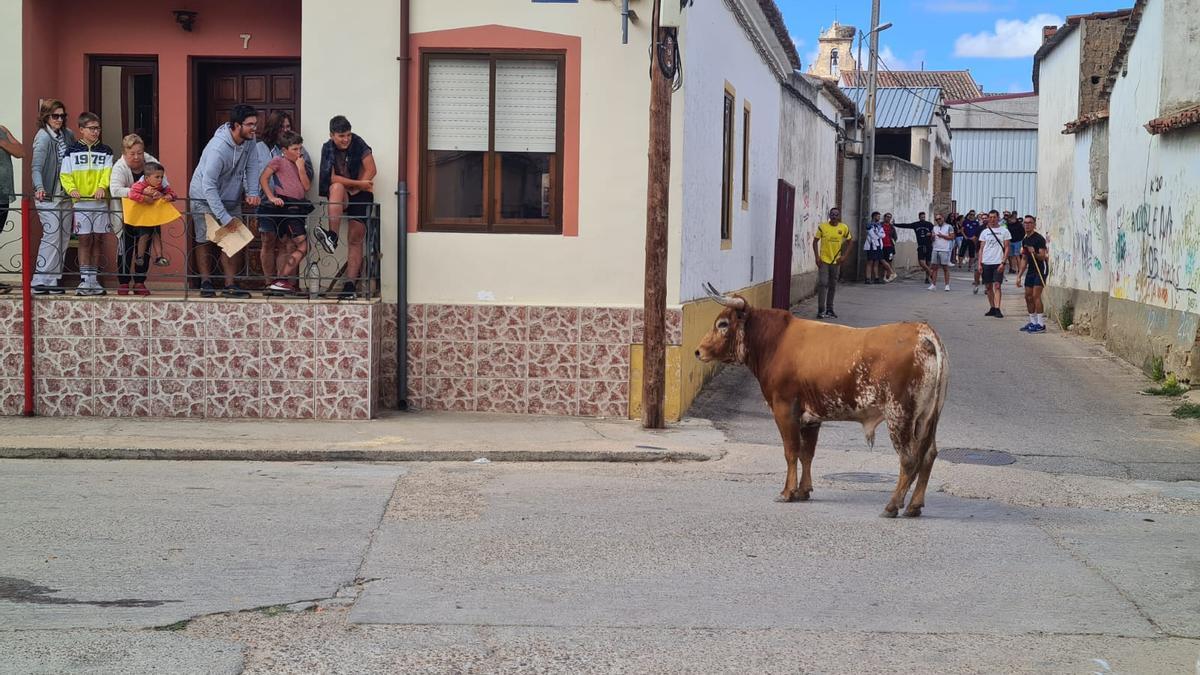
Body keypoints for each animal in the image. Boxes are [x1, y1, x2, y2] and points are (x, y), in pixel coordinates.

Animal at [696, 283, 945, 514]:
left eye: (722, 324)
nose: (698, 351)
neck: (775, 342)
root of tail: (922, 331)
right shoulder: (811, 417)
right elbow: (807, 454)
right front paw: (803, 490)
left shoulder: (784, 409)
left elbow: (791, 451)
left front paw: (787, 492)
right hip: (927, 418)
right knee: (928, 455)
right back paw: (914, 505)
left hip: (899, 415)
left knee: (909, 459)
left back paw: (893, 505)